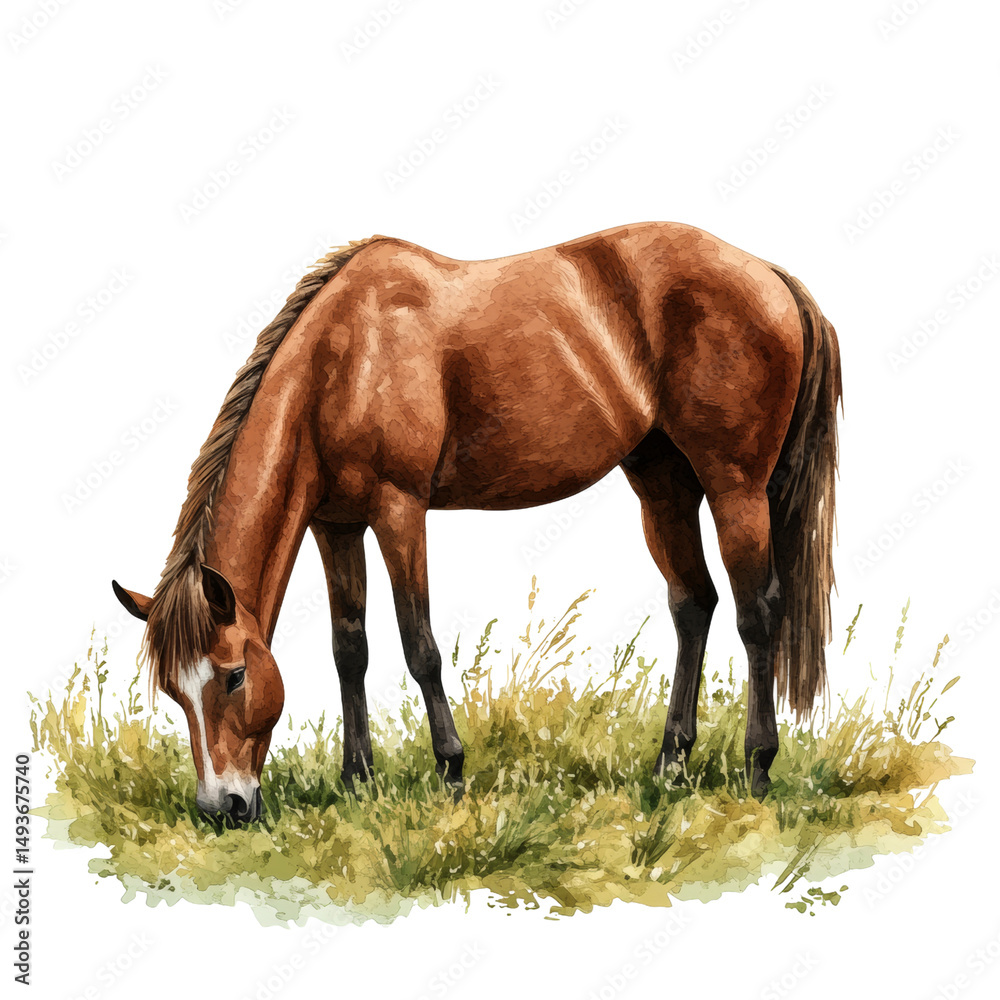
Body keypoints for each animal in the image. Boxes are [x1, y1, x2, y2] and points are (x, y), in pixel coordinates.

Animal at [112, 221, 841, 823]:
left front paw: (452, 772)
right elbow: (350, 649)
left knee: (756, 614)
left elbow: (420, 647)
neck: (343, 361)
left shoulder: (398, 510)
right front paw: (358, 781)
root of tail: (771, 275)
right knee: (694, 603)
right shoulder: (336, 526)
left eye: (234, 675)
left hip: (735, 487)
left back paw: (757, 770)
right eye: (174, 692)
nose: (223, 809)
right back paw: (670, 765)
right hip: (661, 484)